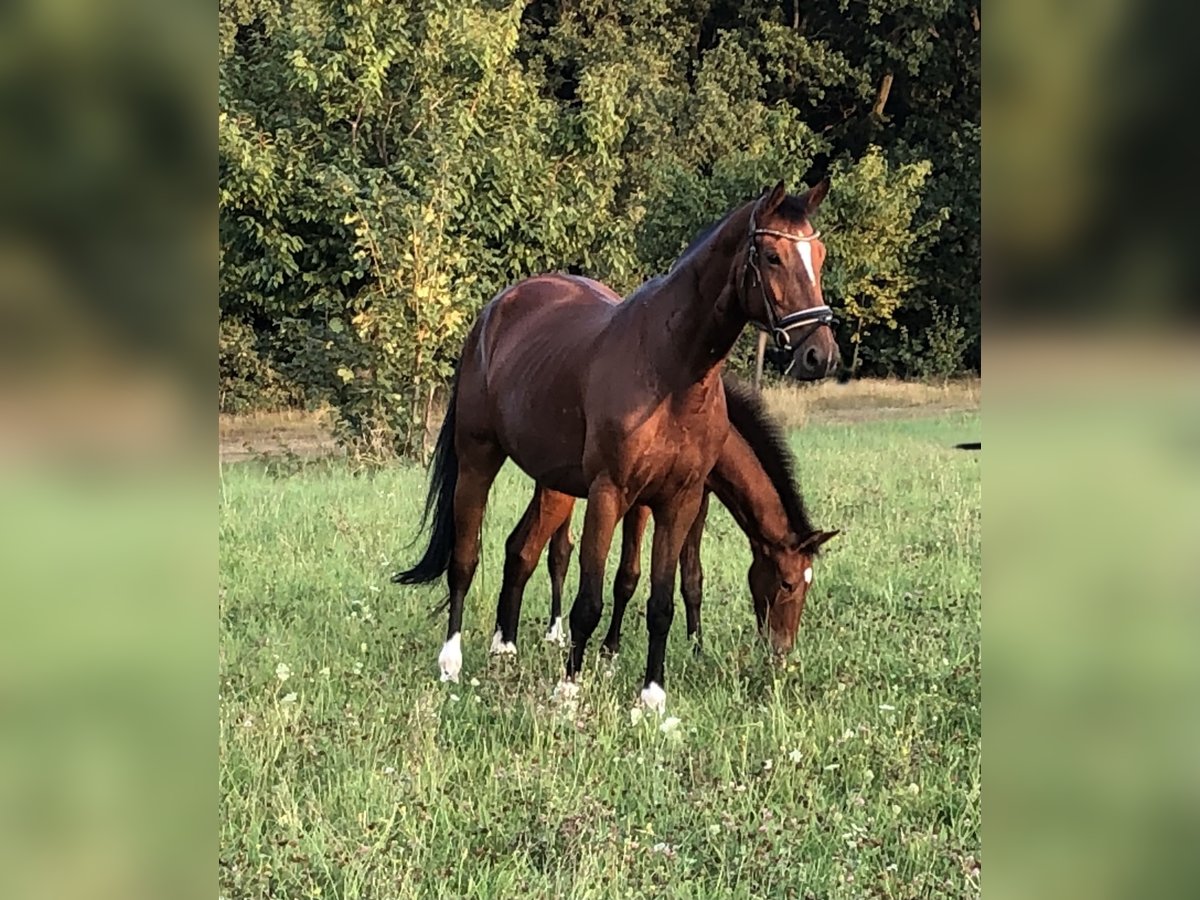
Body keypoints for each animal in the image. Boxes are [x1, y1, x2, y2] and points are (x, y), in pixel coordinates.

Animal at [494, 376, 835, 657]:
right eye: (788, 583)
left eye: (809, 585)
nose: (783, 649)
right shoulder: (640, 503)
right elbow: (628, 576)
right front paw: (610, 648)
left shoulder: (697, 500)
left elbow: (692, 578)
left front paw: (697, 647)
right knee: (531, 548)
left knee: (552, 549)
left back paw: (550, 635)